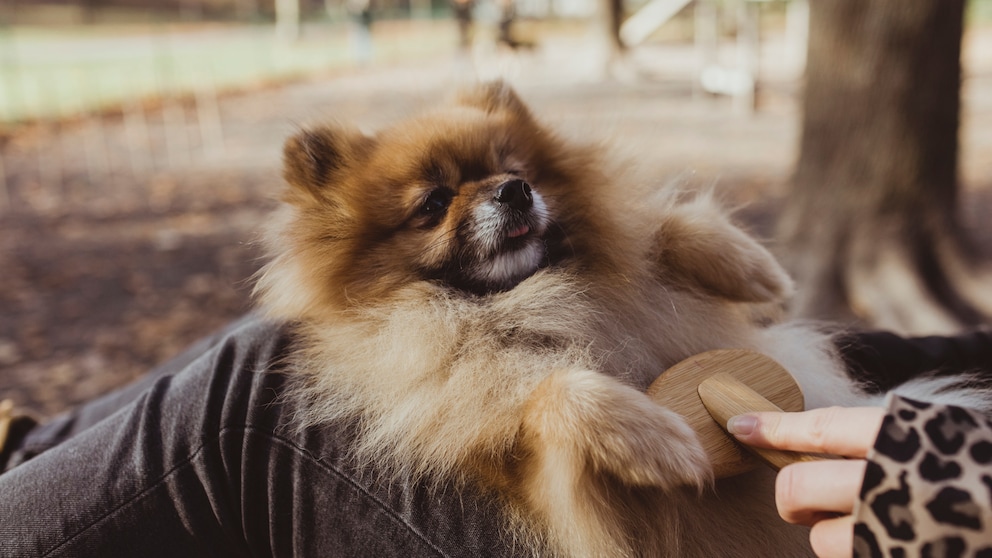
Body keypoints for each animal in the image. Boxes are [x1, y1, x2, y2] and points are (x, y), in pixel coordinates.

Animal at [254, 81, 984, 556]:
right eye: (433, 203)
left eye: (512, 168)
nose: (515, 190)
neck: (522, 296)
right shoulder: (522, 462)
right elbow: (550, 390)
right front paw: (652, 436)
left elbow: (659, 231)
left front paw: (754, 269)